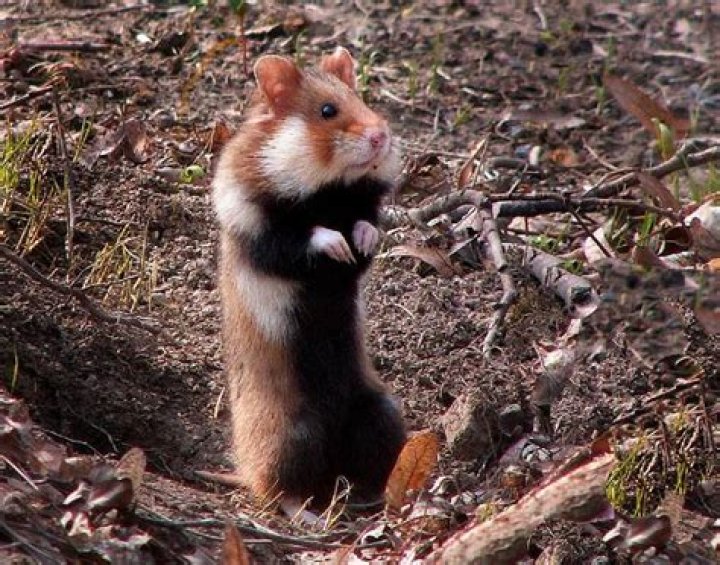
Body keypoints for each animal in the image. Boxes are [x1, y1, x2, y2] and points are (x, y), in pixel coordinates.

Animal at [212, 47, 407, 516]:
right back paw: (309, 516)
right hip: (292, 437)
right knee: (278, 491)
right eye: (327, 111)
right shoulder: (258, 229)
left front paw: (360, 238)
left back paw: (375, 499)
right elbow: (304, 236)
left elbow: (365, 228)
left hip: (380, 413)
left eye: (362, 98)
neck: (327, 189)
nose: (381, 136)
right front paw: (335, 243)